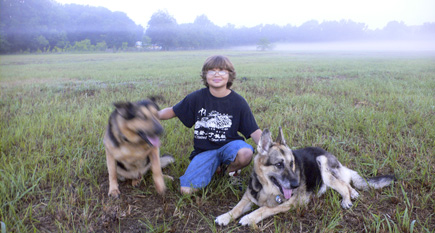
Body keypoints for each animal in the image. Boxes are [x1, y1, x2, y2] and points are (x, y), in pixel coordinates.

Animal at [216, 127, 396, 226]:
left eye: (292, 163)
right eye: (279, 164)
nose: (296, 185)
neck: (267, 188)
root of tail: (333, 158)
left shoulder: (287, 204)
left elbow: (264, 208)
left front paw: (249, 218)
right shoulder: (248, 197)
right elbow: (236, 208)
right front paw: (225, 216)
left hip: (322, 163)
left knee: (343, 185)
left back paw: (347, 199)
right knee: (347, 183)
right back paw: (353, 193)